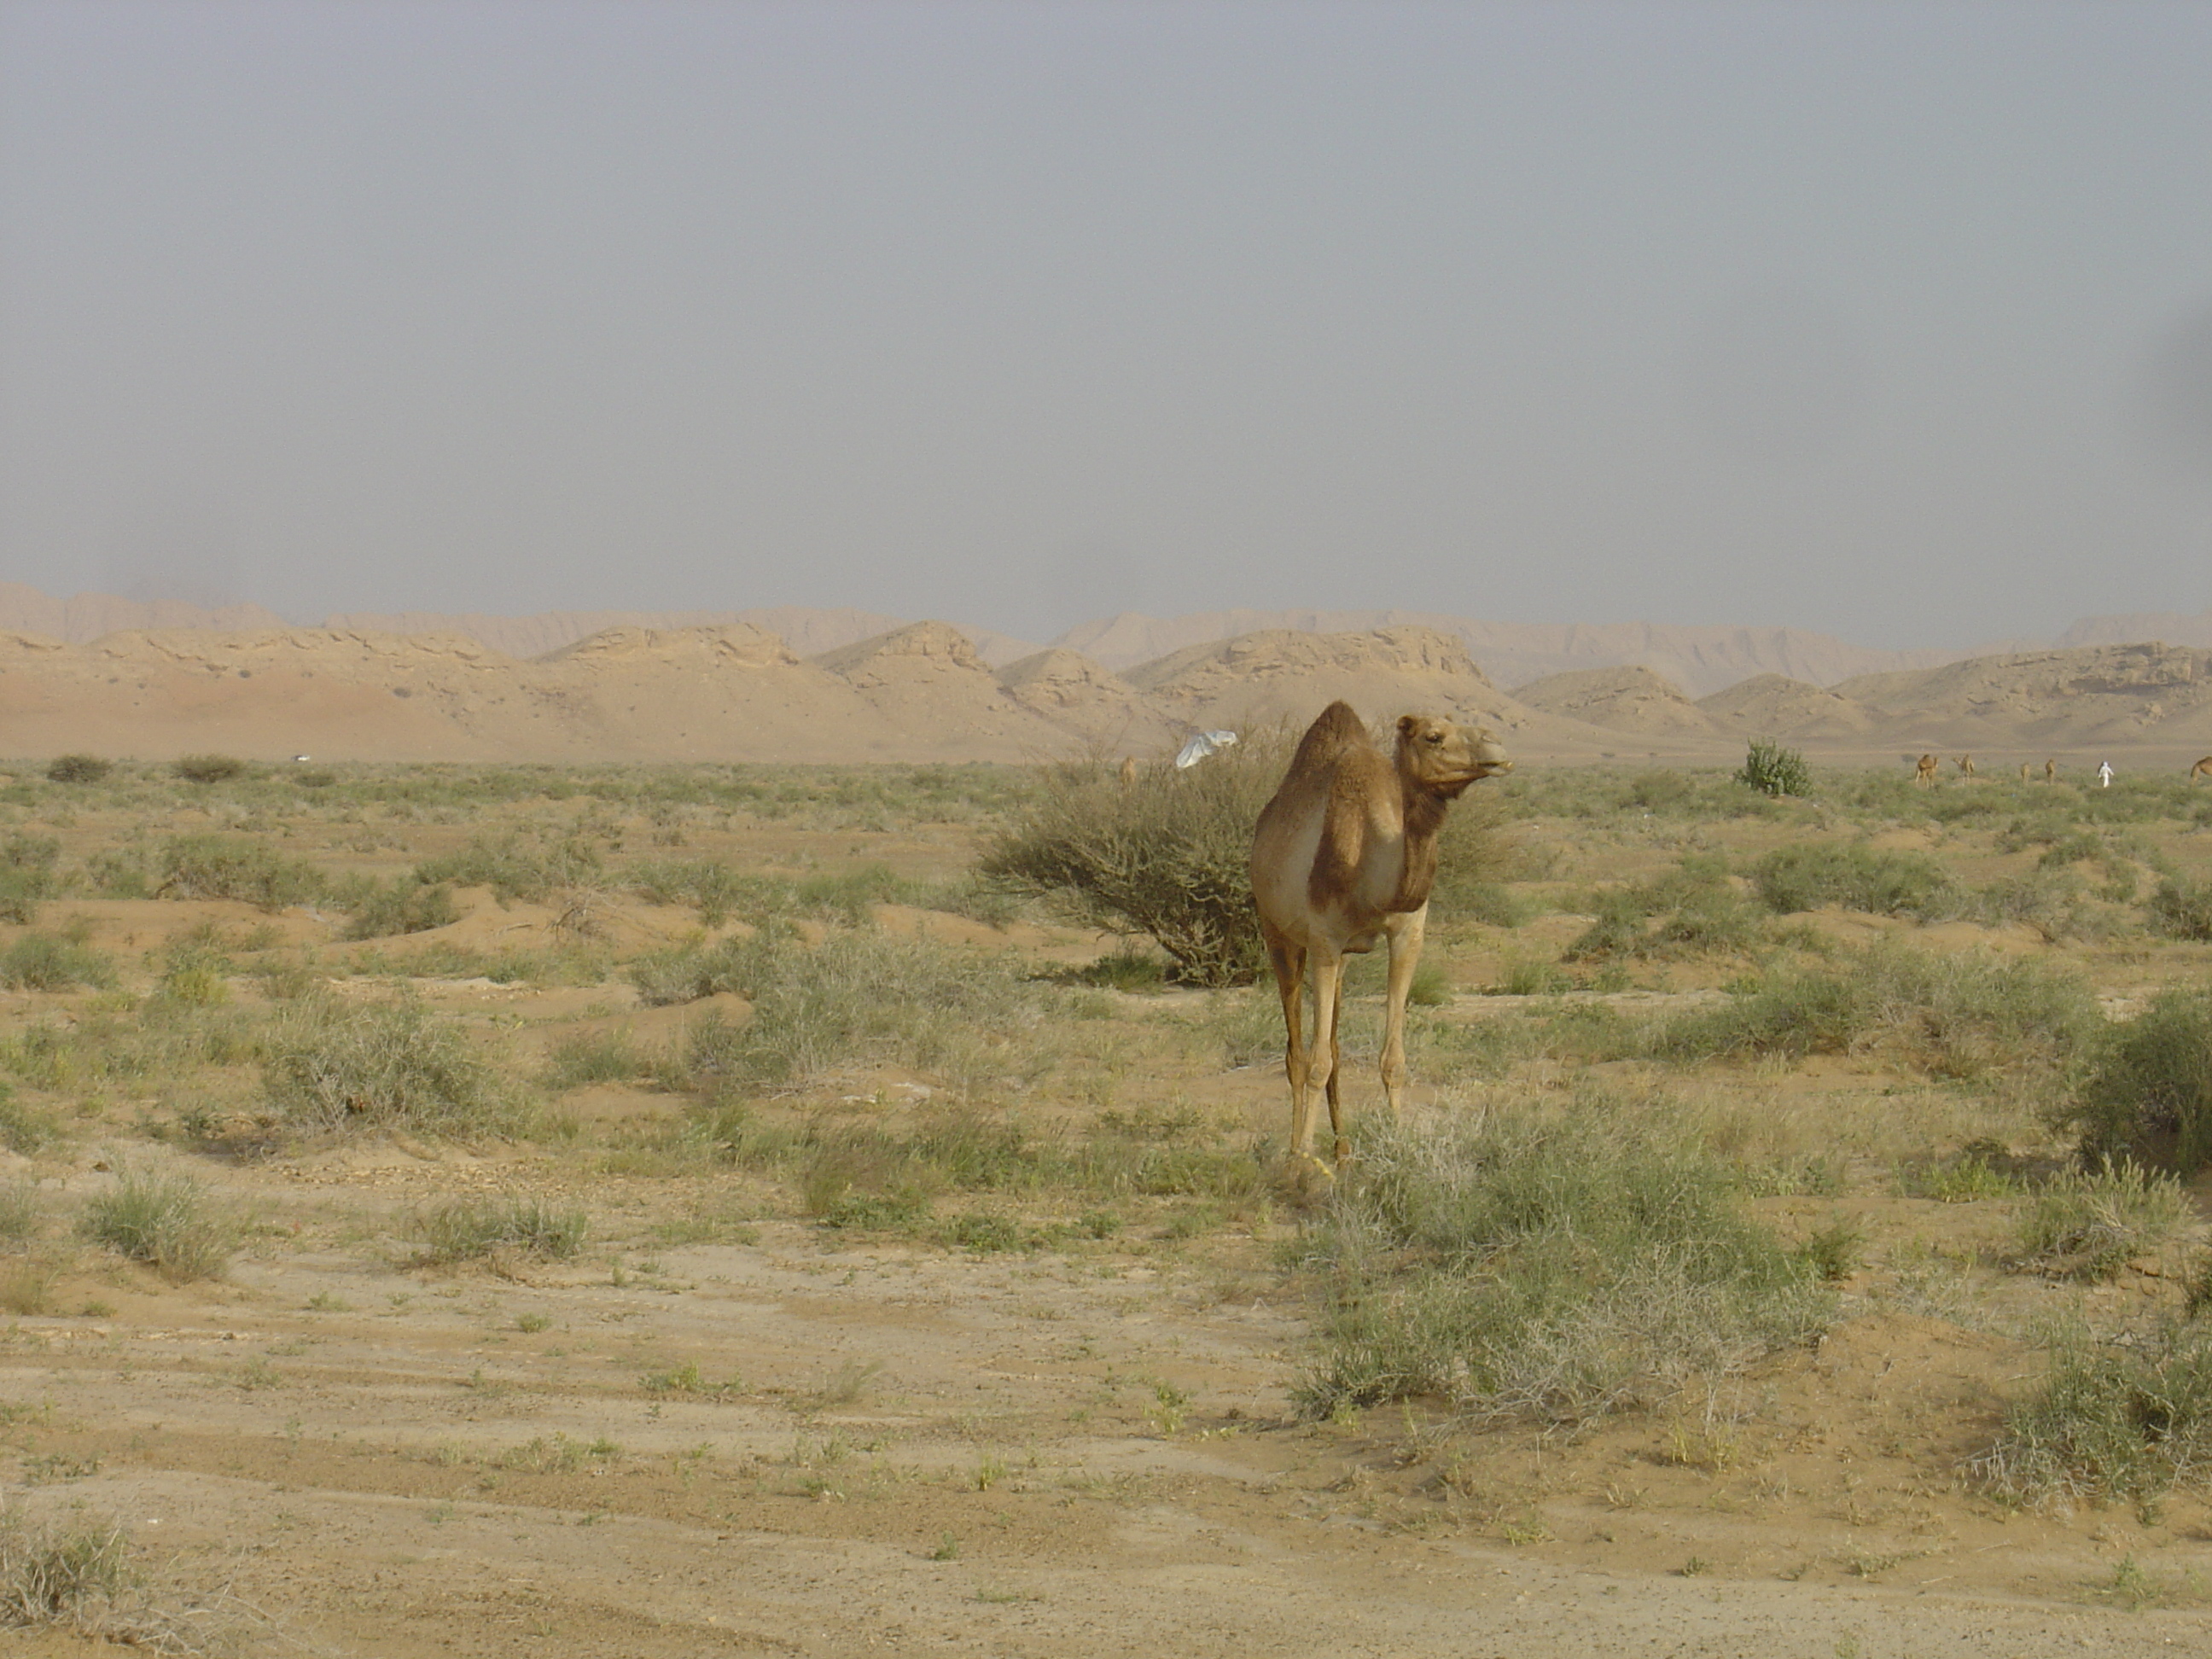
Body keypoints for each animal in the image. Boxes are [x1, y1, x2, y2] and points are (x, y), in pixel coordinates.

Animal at [1256, 699, 1512, 1185]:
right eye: (1433, 736)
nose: (1497, 749)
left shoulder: (1407, 935)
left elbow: (1391, 1058)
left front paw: (1398, 1146)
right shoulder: (1324, 940)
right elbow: (1315, 1063)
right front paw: (1304, 1160)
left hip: (1339, 960)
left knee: (1333, 1046)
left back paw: (1343, 1152)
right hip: (1278, 935)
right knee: (1298, 1053)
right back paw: (1297, 1154)